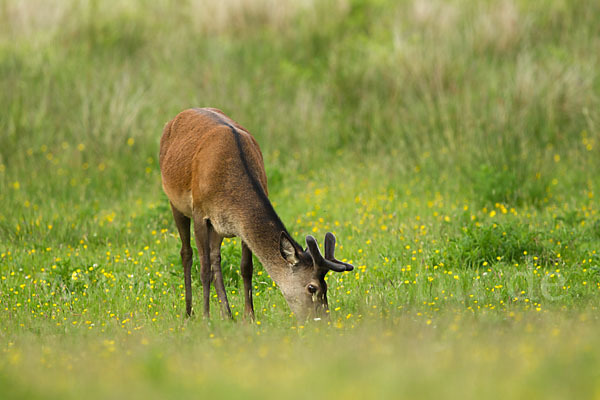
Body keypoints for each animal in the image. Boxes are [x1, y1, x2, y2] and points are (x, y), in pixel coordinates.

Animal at [161, 108, 356, 322]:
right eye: (312, 287)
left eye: (326, 286)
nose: (323, 319)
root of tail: (176, 117)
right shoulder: (200, 213)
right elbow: (203, 269)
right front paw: (206, 318)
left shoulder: (239, 224)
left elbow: (246, 267)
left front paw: (250, 317)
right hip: (175, 202)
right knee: (186, 253)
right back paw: (189, 312)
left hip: (217, 228)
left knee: (215, 258)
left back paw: (228, 314)